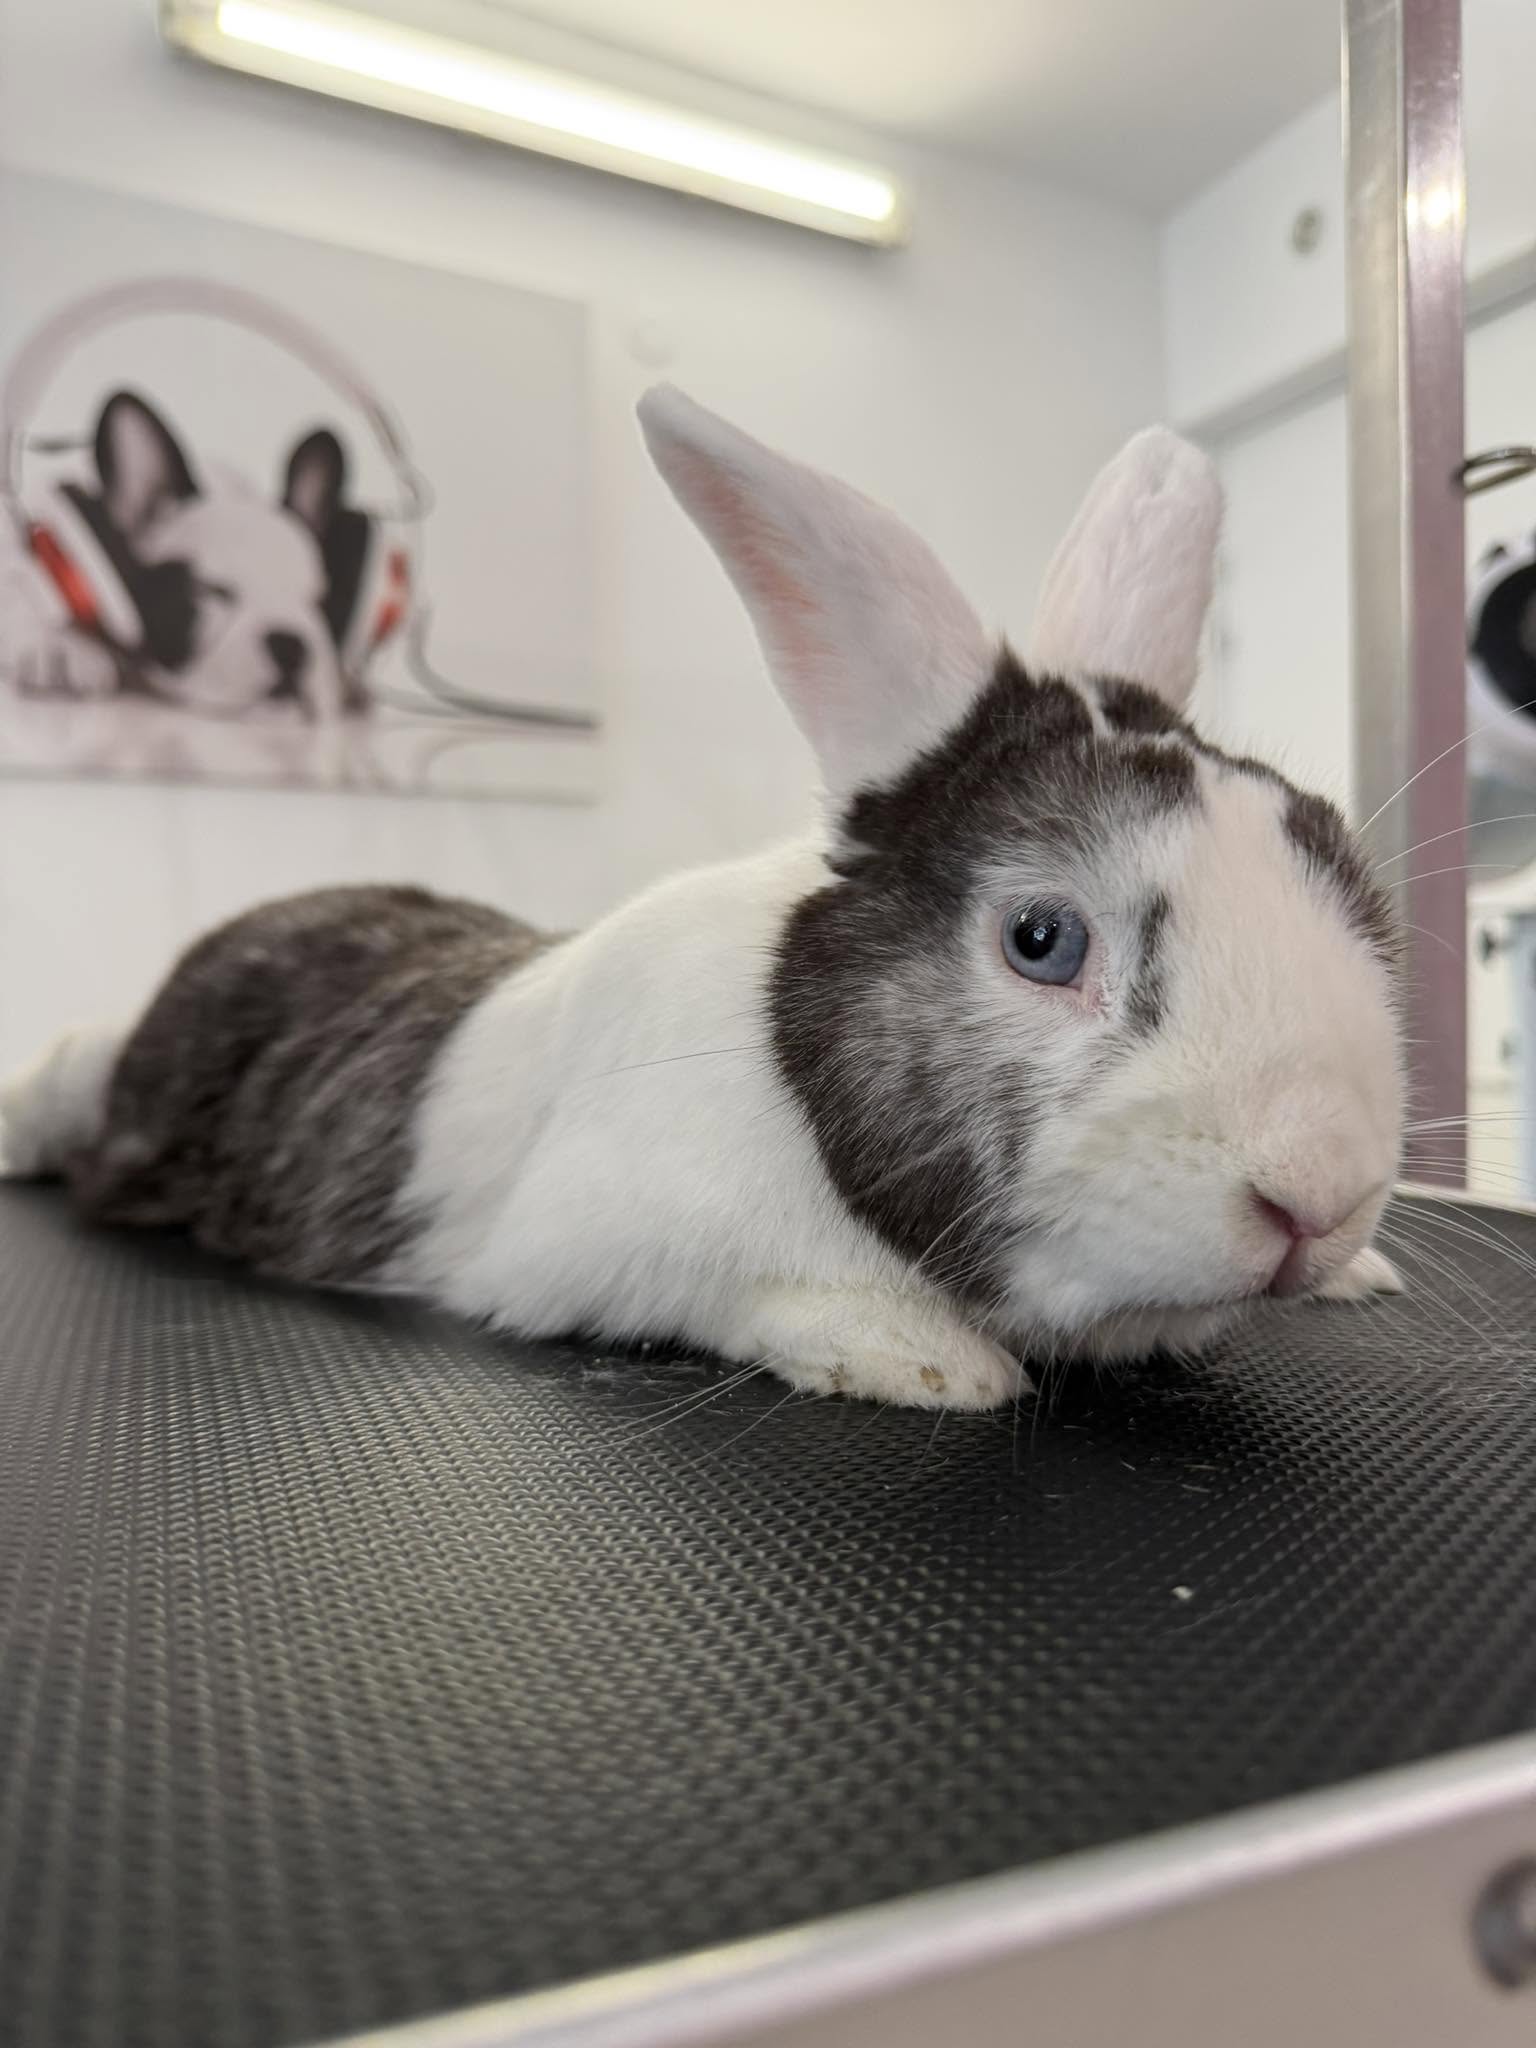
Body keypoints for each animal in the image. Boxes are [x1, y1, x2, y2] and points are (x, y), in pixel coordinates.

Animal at [0, 387, 1404, 1411]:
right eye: (1043, 939)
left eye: (1342, 872)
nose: (1318, 1195)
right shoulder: (585, 1242)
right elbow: (738, 1287)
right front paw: (919, 1358)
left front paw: (1367, 1271)